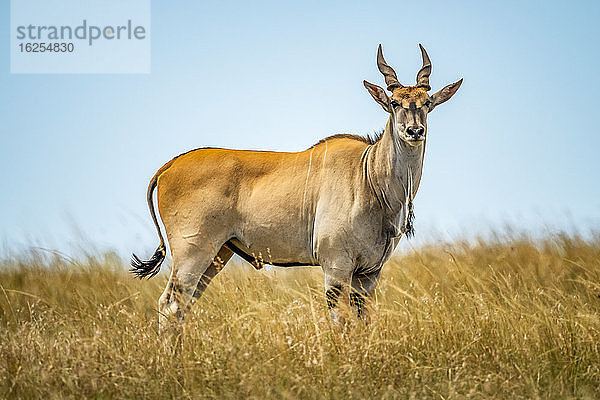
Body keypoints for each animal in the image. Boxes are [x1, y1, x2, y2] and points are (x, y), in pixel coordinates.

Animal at [130, 44, 460, 328]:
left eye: (427, 103)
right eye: (394, 103)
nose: (415, 131)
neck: (369, 177)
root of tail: (169, 166)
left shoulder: (368, 275)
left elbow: (364, 322)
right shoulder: (336, 268)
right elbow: (341, 323)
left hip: (217, 255)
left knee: (182, 306)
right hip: (193, 252)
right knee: (170, 304)